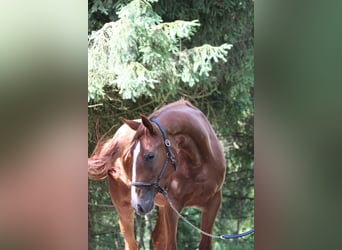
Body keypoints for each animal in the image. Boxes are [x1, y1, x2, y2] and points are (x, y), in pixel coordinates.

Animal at [123, 98, 227, 249]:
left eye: (150, 155)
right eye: (130, 155)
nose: (138, 204)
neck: (198, 163)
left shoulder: (213, 203)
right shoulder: (172, 206)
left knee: (158, 238)